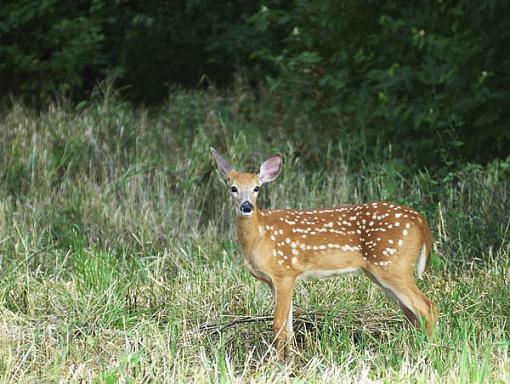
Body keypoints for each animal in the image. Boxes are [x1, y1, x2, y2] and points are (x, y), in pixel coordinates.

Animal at [211, 148, 438, 360]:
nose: (246, 206)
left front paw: (277, 363)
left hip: (392, 265)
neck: (260, 236)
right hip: (381, 273)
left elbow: (278, 325)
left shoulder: (284, 272)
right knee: (413, 313)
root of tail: (419, 219)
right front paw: (290, 361)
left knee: (427, 306)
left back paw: (429, 350)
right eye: (233, 188)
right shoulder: (275, 281)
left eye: (257, 188)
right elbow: (289, 328)